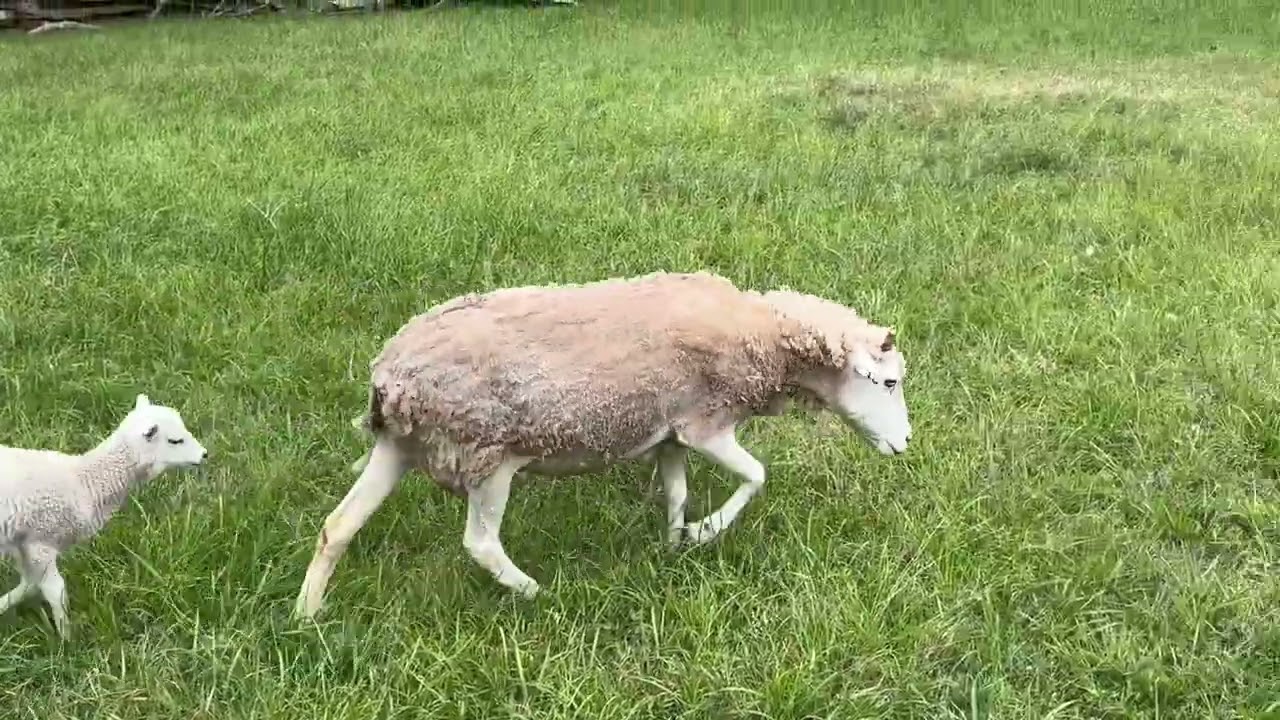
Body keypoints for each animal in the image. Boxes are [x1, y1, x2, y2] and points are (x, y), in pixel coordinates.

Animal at [0, 394, 208, 639]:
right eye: (175, 441)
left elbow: (29, 584)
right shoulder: (40, 541)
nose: (205, 454)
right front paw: (67, 641)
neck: (86, 482)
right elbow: (55, 591)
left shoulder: (22, 543)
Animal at [294, 271, 911, 619]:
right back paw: (536, 594)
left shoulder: (670, 432)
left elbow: (677, 491)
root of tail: (390, 379)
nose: (906, 444)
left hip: (402, 447)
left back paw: (307, 615)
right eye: (888, 382)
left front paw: (674, 545)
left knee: (337, 526)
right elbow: (758, 475)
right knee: (481, 543)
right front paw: (705, 533)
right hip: (486, 454)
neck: (766, 337)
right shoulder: (705, 423)